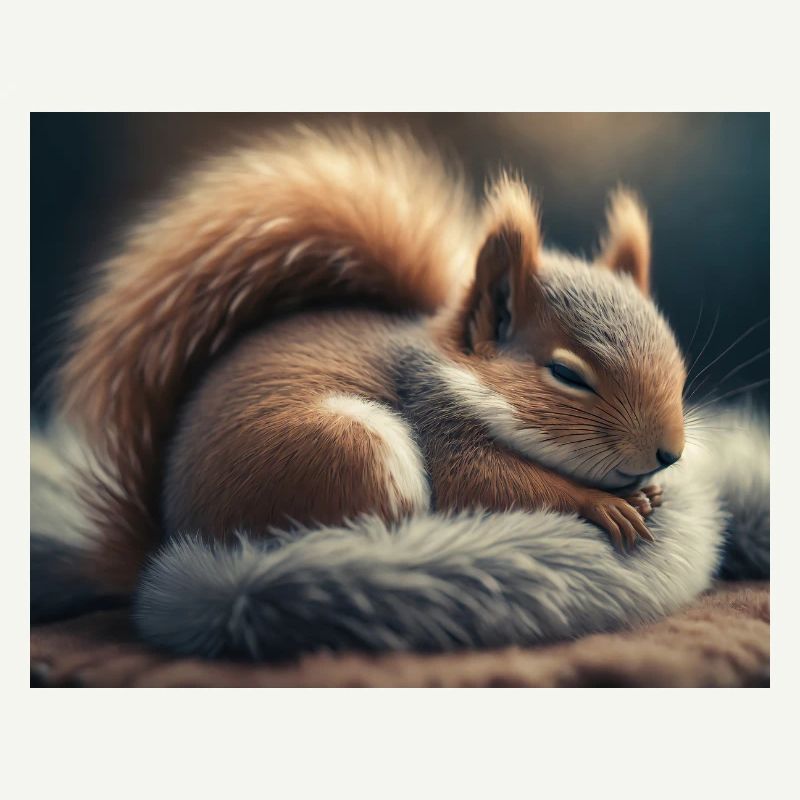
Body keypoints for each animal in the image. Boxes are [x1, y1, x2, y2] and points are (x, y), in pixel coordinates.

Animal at [58, 125, 687, 594]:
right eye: (566, 375)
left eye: (677, 367)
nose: (670, 454)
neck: (458, 375)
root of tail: (170, 544)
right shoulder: (439, 426)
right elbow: (490, 485)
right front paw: (602, 504)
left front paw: (649, 492)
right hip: (347, 449)